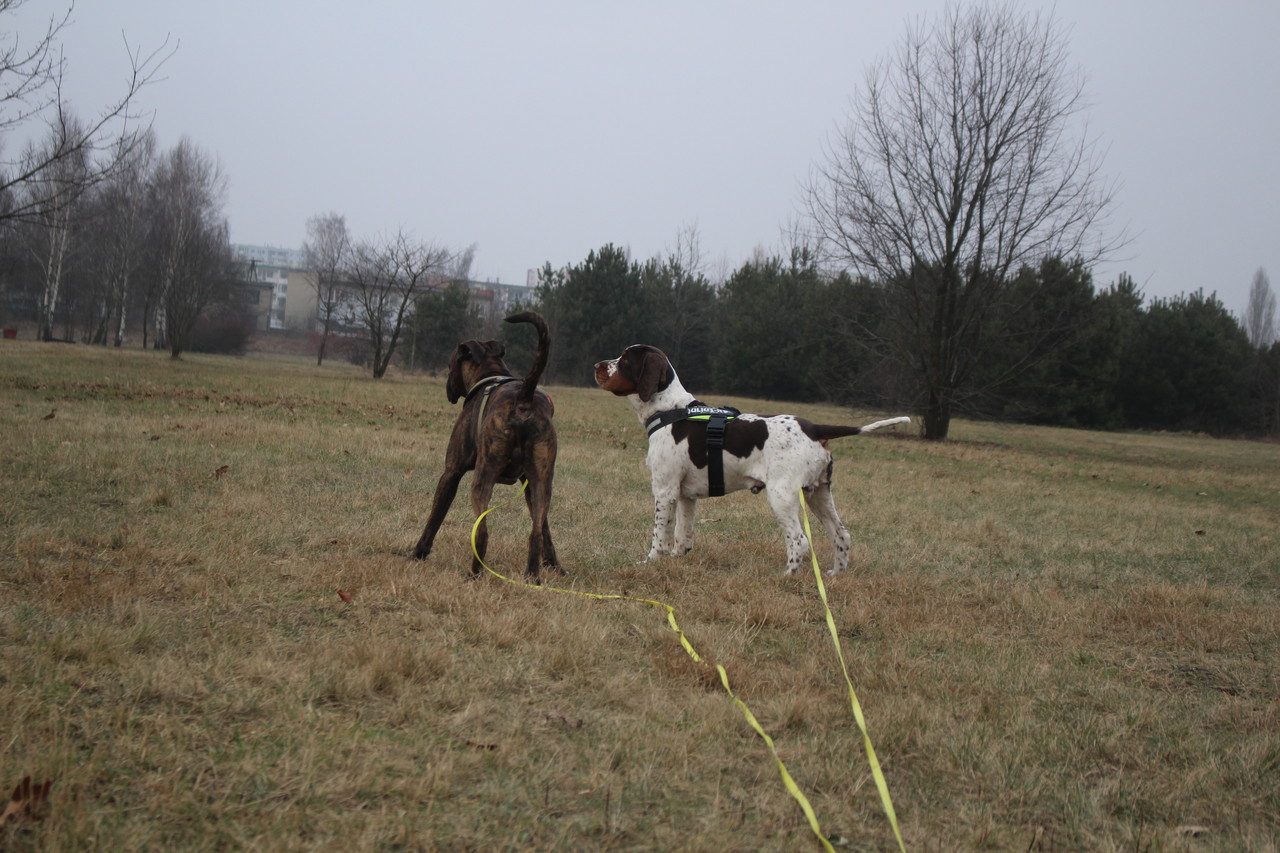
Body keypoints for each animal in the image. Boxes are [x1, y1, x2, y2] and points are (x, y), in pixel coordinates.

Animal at [413, 311, 560, 580]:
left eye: (450, 364)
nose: (447, 386)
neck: (488, 375)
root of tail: (523, 397)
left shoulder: (451, 473)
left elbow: (434, 519)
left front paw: (418, 553)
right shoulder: (530, 484)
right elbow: (545, 531)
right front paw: (554, 565)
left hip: (483, 477)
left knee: (481, 532)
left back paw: (474, 574)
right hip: (542, 482)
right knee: (535, 533)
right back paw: (532, 577)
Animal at [594, 344, 908, 575]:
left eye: (625, 359)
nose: (597, 365)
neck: (670, 410)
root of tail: (815, 428)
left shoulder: (665, 490)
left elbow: (660, 536)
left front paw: (651, 563)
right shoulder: (686, 496)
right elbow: (683, 538)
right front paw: (676, 561)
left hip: (782, 495)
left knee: (799, 541)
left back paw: (786, 577)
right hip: (818, 493)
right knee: (841, 535)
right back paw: (835, 576)